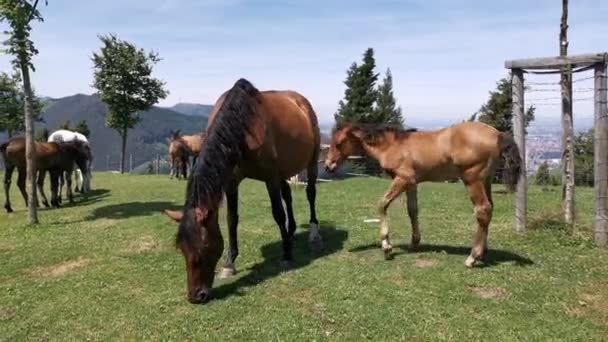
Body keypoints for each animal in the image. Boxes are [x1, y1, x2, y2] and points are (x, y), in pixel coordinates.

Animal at [162, 79, 324, 304]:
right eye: (182, 250)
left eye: (203, 250)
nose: (196, 296)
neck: (241, 127)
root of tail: (301, 101)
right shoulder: (231, 181)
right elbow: (232, 219)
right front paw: (229, 263)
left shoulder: (270, 177)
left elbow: (278, 214)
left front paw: (286, 255)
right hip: (283, 170)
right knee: (288, 195)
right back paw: (290, 232)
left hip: (311, 161)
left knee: (310, 194)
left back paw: (313, 234)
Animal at [326, 121, 520, 268]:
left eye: (339, 143)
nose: (328, 166)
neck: (392, 145)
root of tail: (497, 134)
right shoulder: (412, 183)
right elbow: (412, 210)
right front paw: (414, 242)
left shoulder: (402, 179)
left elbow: (382, 204)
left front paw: (387, 247)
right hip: (486, 180)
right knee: (489, 209)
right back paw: (483, 251)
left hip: (472, 179)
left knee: (482, 210)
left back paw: (473, 257)